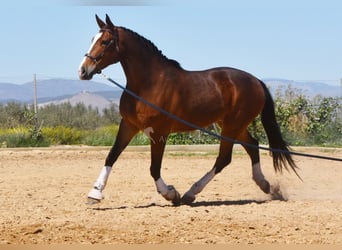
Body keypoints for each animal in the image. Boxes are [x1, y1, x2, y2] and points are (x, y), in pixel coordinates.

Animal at [78, 14, 300, 205]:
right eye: (92, 39)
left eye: (105, 42)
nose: (83, 70)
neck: (149, 84)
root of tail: (256, 81)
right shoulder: (129, 125)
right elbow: (111, 156)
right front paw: (94, 194)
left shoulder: (159, 132)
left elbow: (154, 168)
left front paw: (171, 194)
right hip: (232, 125)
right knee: (252, 145)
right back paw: (265, 186)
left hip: (232, 126)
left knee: (224, 158)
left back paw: (190, 193)